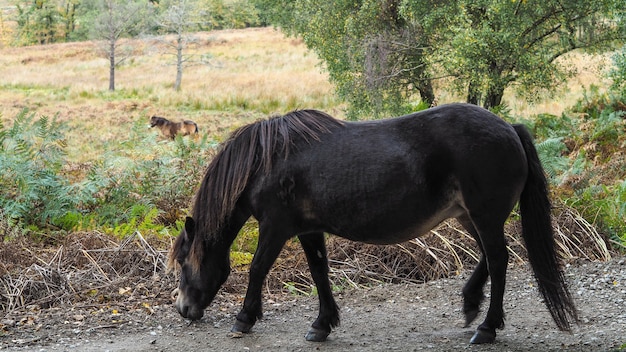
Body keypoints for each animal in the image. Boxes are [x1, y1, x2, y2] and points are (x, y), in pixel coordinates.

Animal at [167, 102, 576, 344]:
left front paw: (244, 318)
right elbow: (319, 273)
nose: (183, 309)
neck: (266, 162)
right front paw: (322, 324)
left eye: (184, 262)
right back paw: (471, 303)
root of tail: (509, 128)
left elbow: (257, 269)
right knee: (490, 259)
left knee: (499, 260)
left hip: (484, 216)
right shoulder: (308, 230)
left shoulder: (275, 227)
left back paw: (487, 328)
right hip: (469, 217)